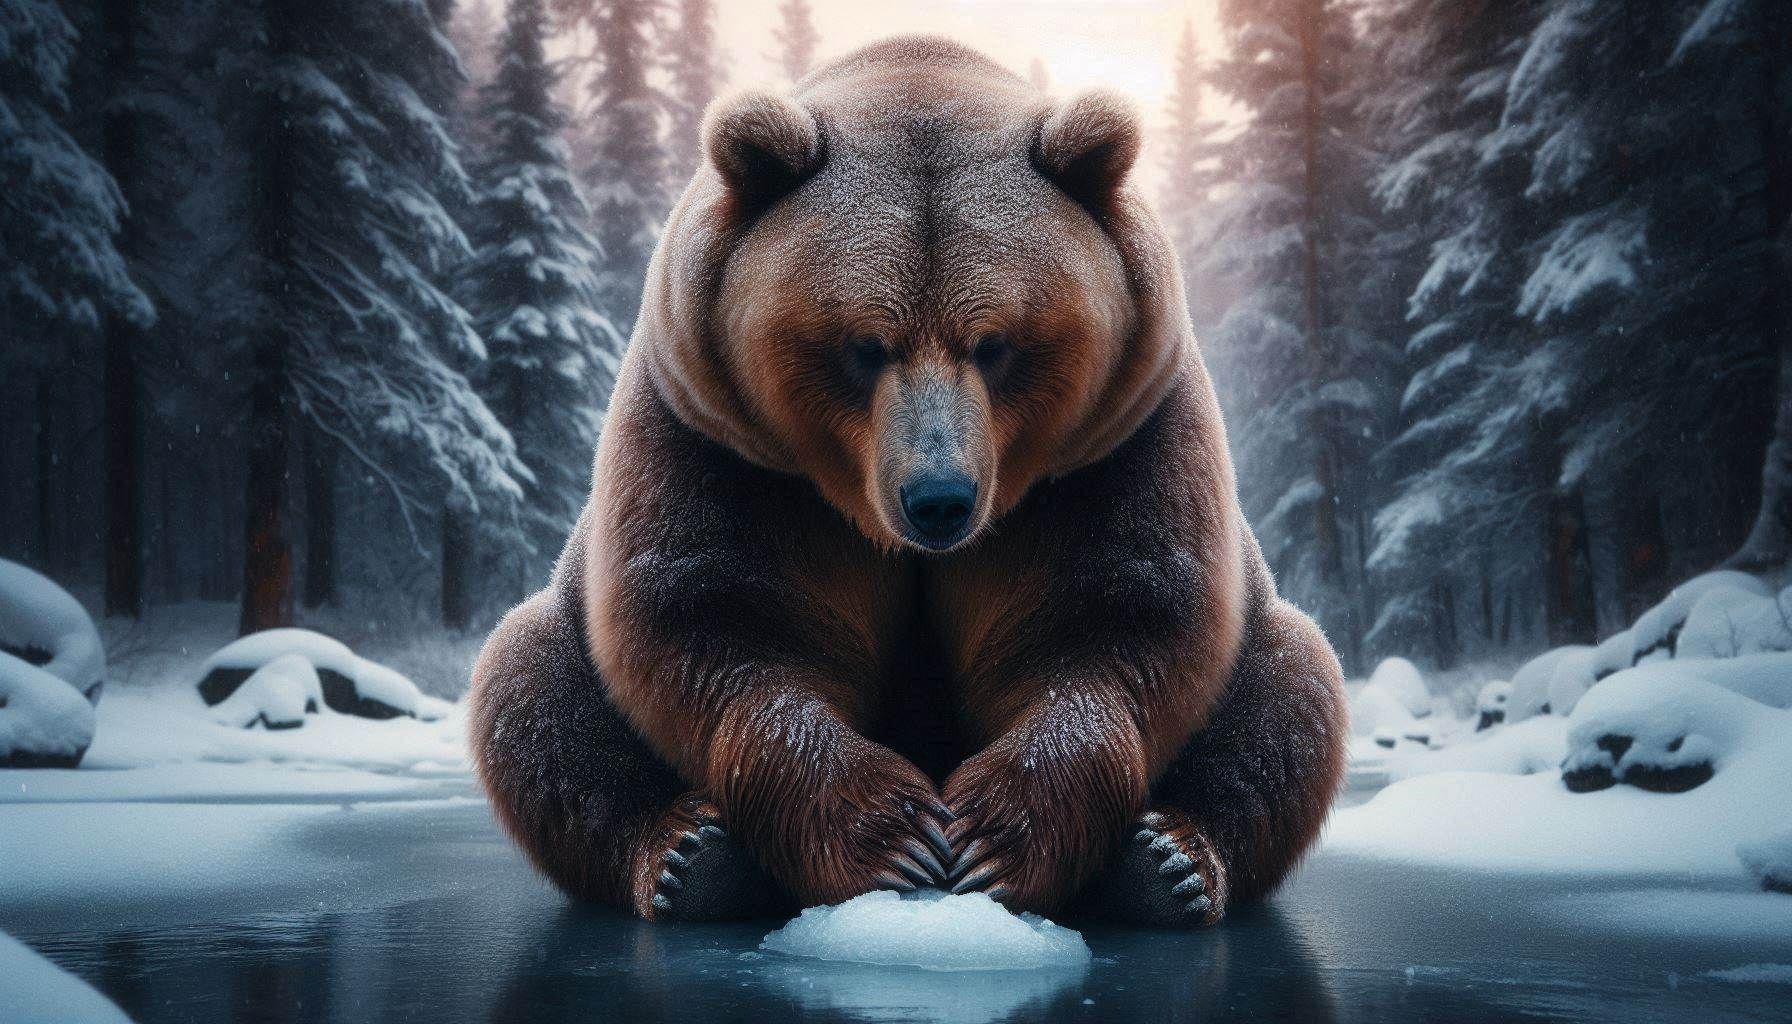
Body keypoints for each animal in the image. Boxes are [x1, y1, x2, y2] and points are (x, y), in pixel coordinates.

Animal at [468, 36, 1348, 928]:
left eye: (995, 344)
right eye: (864, 345)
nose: (939, 500)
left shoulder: (1119, 441)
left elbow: (1110, 620)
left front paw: (989, 839)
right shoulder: (716, 441)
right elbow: (719, 617)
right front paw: (897, 836)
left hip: (1264, 633)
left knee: (1288, 700)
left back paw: (1169, 863)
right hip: (563, 628)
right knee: (535, 697)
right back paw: (691, 857)